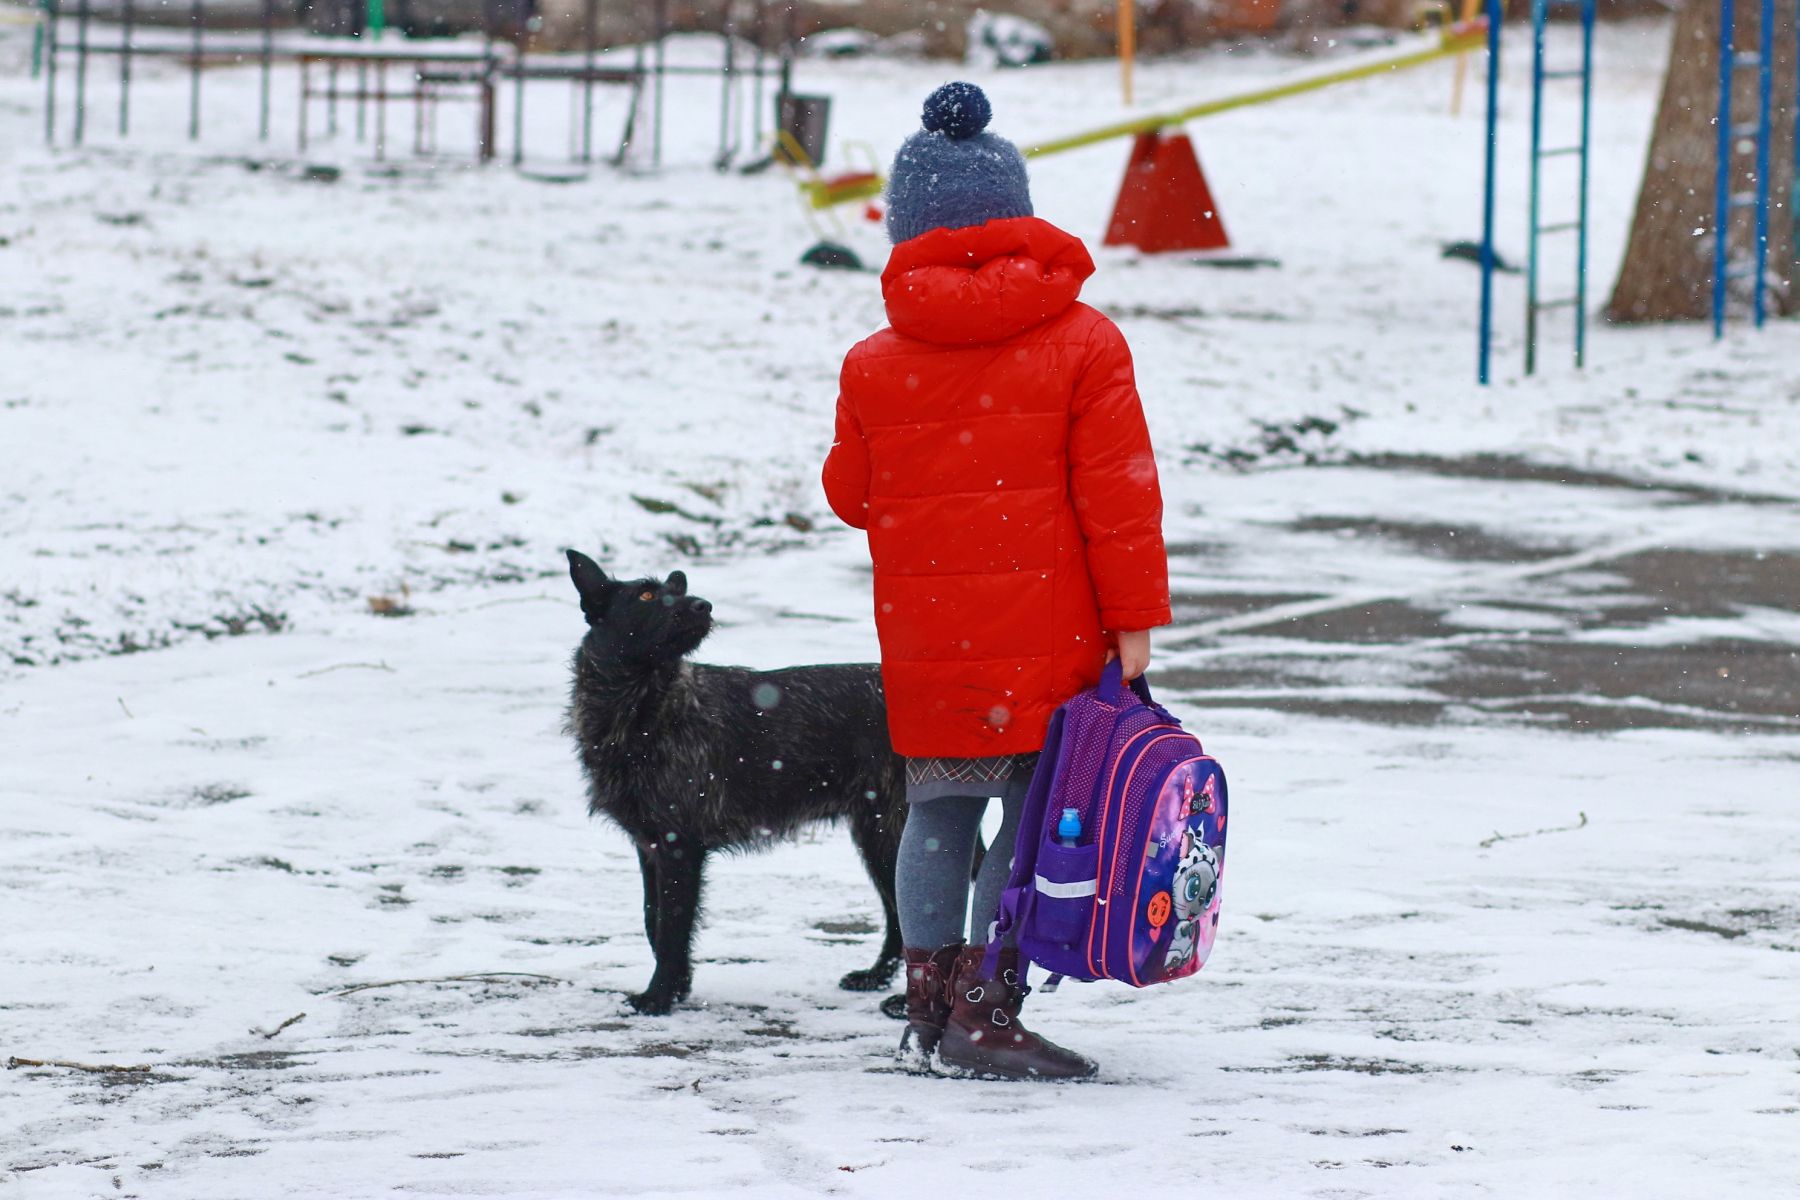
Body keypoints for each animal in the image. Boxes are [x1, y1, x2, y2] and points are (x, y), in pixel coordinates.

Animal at [561, 550, 900, 1014]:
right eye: (646, 595)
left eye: (677, 590)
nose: (703, 605)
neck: (648, 710)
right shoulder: (649, 847)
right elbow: (654, 919)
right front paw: (678, 987)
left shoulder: (678, 846)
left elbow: (671, 926)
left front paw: (659, 997)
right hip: (875, 834)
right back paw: (876, 977)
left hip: (890, 835)